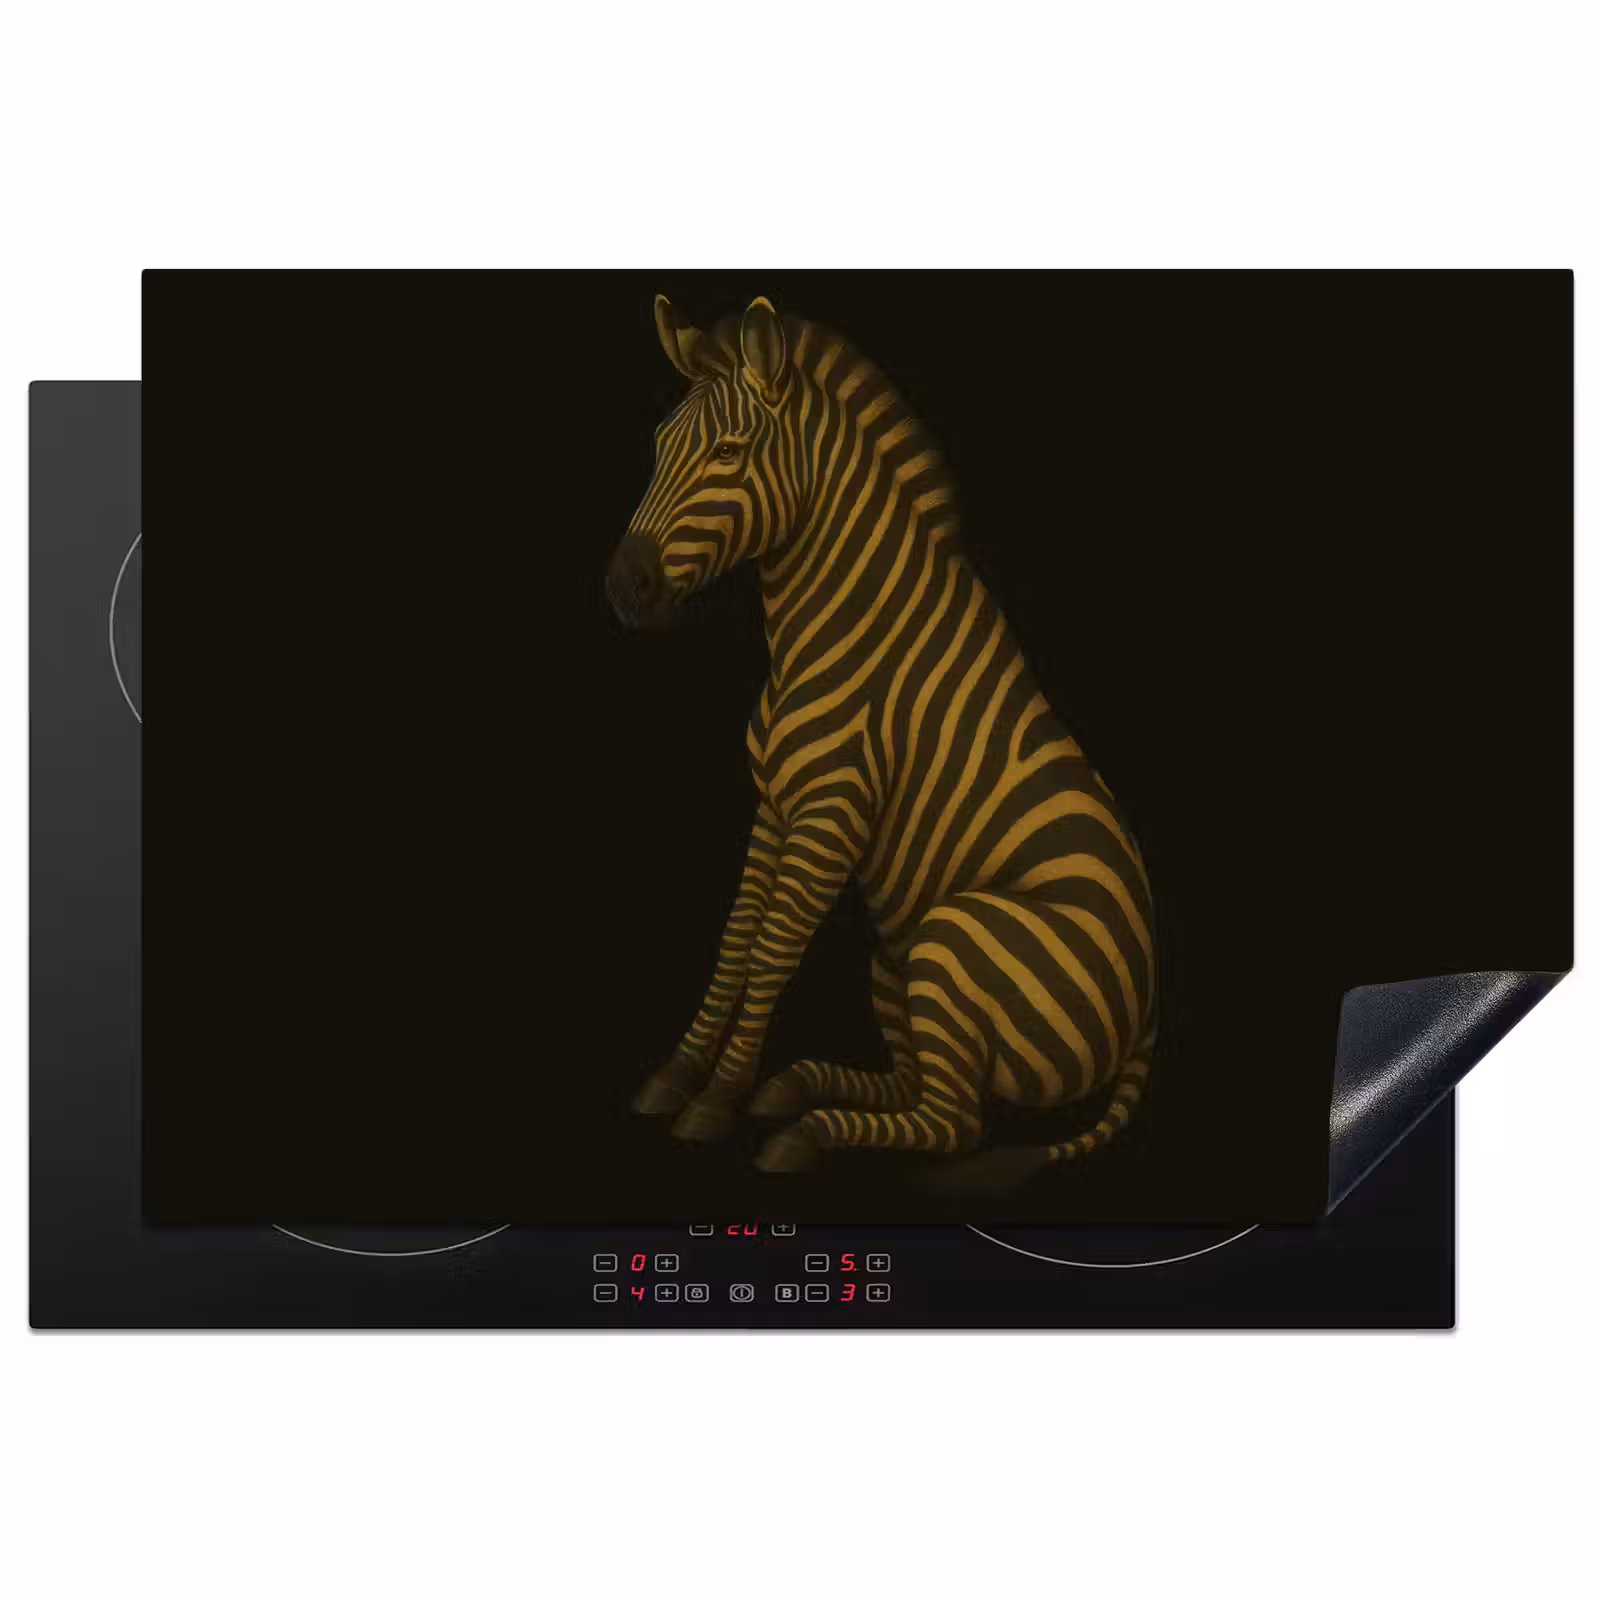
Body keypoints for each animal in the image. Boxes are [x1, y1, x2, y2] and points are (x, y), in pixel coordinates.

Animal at [606, 293, 1156, 1187]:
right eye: (657, 449)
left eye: (728, 453)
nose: (625, 589)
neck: (828, 632)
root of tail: (1147, 1015)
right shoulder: (775, 806)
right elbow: (733, 942)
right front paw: (679, 1077)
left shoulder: (833, 815)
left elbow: (770, 951)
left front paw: (715, 1101)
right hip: (895, 967)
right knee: (928, 1094)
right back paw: (797, 1087)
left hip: (952, 939)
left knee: (954, 1126)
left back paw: (805, 1130)